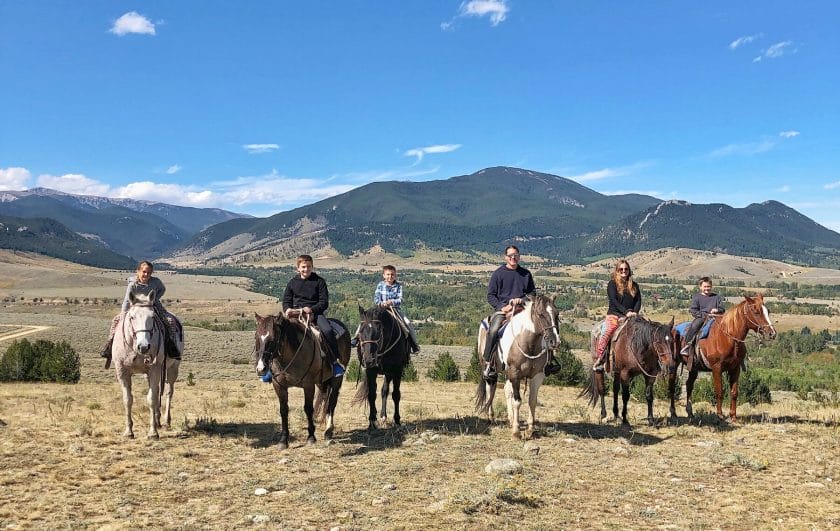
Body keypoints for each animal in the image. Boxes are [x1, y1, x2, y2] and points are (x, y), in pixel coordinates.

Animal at [110, 290, 180, 440]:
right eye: (132, 317)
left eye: (152, 317)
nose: (143, 346)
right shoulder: (122, 371)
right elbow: (127, 399)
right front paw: (128, 431)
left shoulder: (154, 369)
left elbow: (152, 399)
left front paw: (153, 432)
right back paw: (158, 419)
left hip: (172, 368)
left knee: (169, 392)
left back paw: (166, 421)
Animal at [253, 312, 352, 448]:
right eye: (257, 338)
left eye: (272, 340)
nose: (261, 369)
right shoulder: (279, 386)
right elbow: (284, 410)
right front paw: (283, 440)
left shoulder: (308, 385)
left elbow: (308, 409)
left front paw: (311, 437)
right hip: (321, 381)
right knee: (325, 397)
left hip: (337, 379)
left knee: (332, 402)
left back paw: (328, 431)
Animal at [476, 294, 560, 438]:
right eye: (540, 314)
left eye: (557, 314)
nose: (555, 342)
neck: (528, 343)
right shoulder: (515, 373)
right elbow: (517, 401)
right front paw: (516, 431)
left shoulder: (537, 376)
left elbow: (532, 401)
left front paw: (530, 429)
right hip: (489, 369)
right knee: (490, 388)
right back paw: (491, 417)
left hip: (507, 373)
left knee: (506, 390)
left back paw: (510, 418)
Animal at [672, 294, 776, 422]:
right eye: (756, 311)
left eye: (768, 311)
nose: (772, 333)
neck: (728, 337)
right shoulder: (717, 368)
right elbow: (719, 391)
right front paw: (720, 415)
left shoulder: (735, 368)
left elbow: (734, 392)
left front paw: (733, 416)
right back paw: (673, 413)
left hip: (694, 368)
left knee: (689, 385)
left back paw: (690, 413)